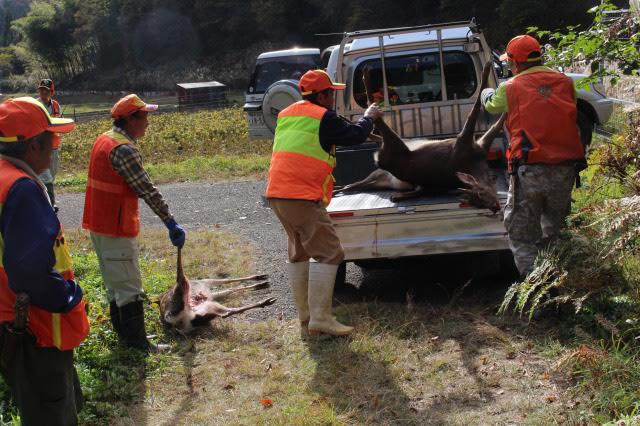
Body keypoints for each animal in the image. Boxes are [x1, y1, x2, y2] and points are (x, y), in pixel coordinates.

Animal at [336, 60, 504, 213]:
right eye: (480, 195)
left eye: (477, 201)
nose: (495, 207)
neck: (475, 162)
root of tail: (380, 160)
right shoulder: (466, 140)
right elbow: (480, 115)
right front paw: (490, 74)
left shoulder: (472, 142)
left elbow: (486, 118)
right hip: (399, 144)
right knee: (375, 123)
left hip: (393, 148)